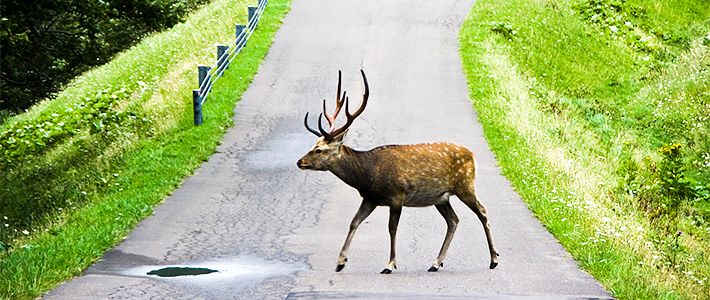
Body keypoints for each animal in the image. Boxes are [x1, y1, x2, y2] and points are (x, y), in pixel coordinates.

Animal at [296, 69, 500, 274]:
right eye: (313, 145)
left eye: (319, 150)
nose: (300, 162)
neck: (367, 175)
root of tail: (472, 154)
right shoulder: (370, 199)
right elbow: (354, 222)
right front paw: (340, 262)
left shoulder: (396, 195)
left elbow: (392, 228)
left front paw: (389, 264)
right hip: (441, 197)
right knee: (453, 220)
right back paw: (436, 263)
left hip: (465, 185)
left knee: (482, 211)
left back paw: (494, 259)